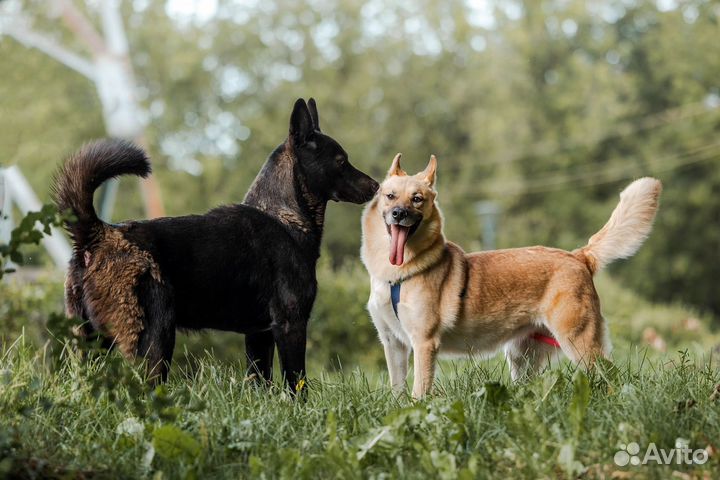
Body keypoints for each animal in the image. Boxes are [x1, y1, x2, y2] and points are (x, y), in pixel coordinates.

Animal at [53, 97, 380, 390]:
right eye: (341, 161)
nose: (377, 186)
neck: (284, 218)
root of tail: (99, 234)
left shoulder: (258, 336)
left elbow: (261, 384)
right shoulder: (291, 325)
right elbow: (297, 384)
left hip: (88, 346)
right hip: (154, 341)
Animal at [362, 155, 660, 398]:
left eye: (417, 199)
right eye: (390, 196)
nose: (398, 214)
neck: (398, 275)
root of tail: (579, 256)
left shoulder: (424, 344)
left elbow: (418, 392)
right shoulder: (394, 344)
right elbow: (398, 390)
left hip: (580, 343)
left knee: (610, 378)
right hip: (522, 358)